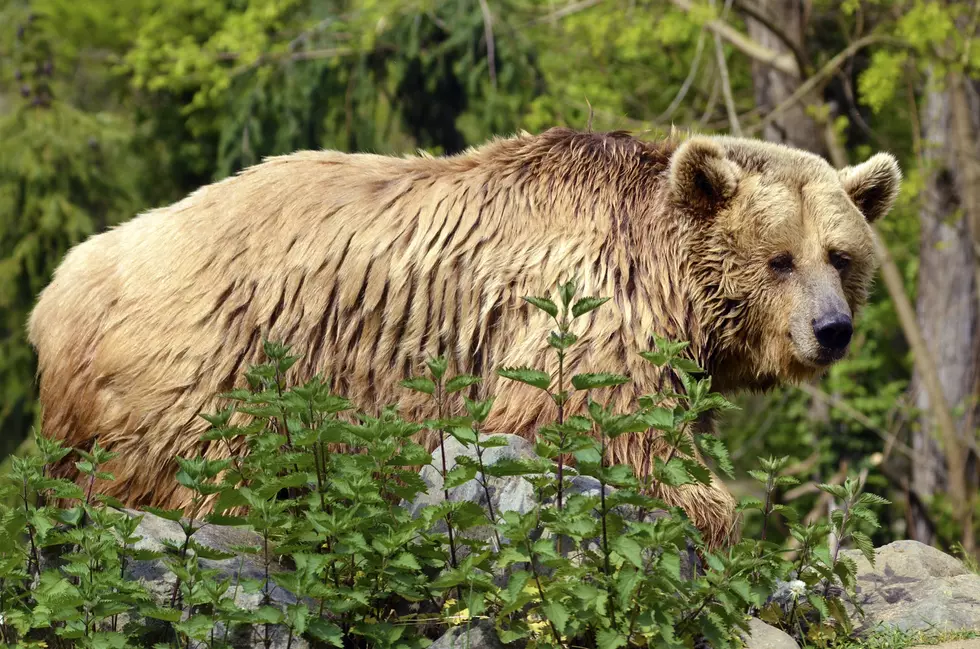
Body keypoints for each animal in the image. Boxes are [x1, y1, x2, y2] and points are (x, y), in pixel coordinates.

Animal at [27, 127, 901, 550]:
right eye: (780, 257)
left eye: (840, 254)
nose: (832, 328)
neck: (667, 277)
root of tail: (58, 290)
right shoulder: (583, 307)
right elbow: (590, 419)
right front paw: (710, 507)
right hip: (212, 364)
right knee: (194, 474)